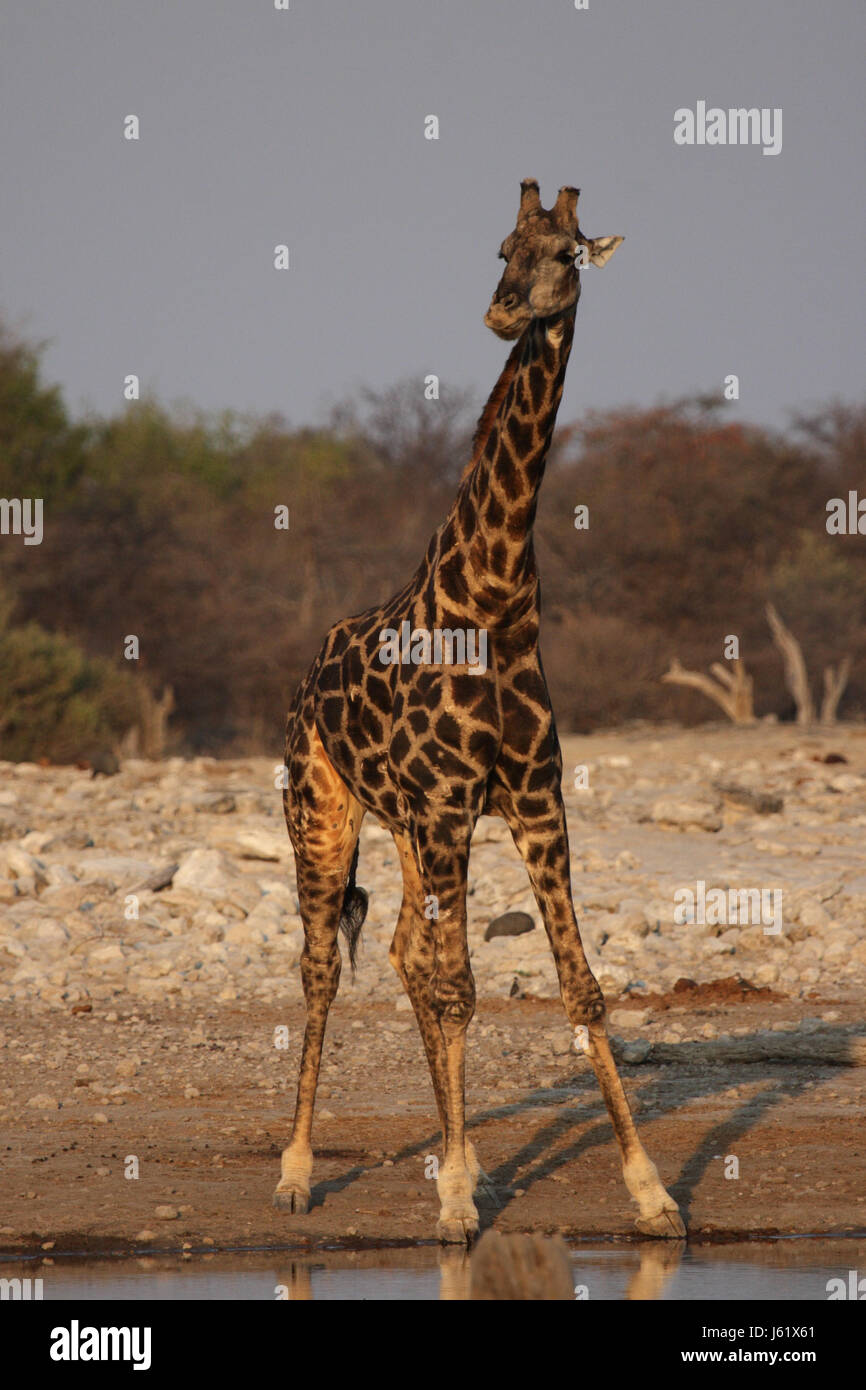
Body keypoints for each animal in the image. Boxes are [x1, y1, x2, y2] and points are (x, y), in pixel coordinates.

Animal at [273, 179, 686, 1245]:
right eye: (502, 246)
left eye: (565, 254)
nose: (503, 311)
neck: (498, 598)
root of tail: (301, 679)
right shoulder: (454, 806)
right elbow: (462, 989)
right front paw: (455, 1200)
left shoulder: (533, 801)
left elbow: (581, 989)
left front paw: (651, 1193)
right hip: (324, 812)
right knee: (322, 968)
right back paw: (296, 1173)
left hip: (411, 831)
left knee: (405, 953)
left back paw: (472, 1162)